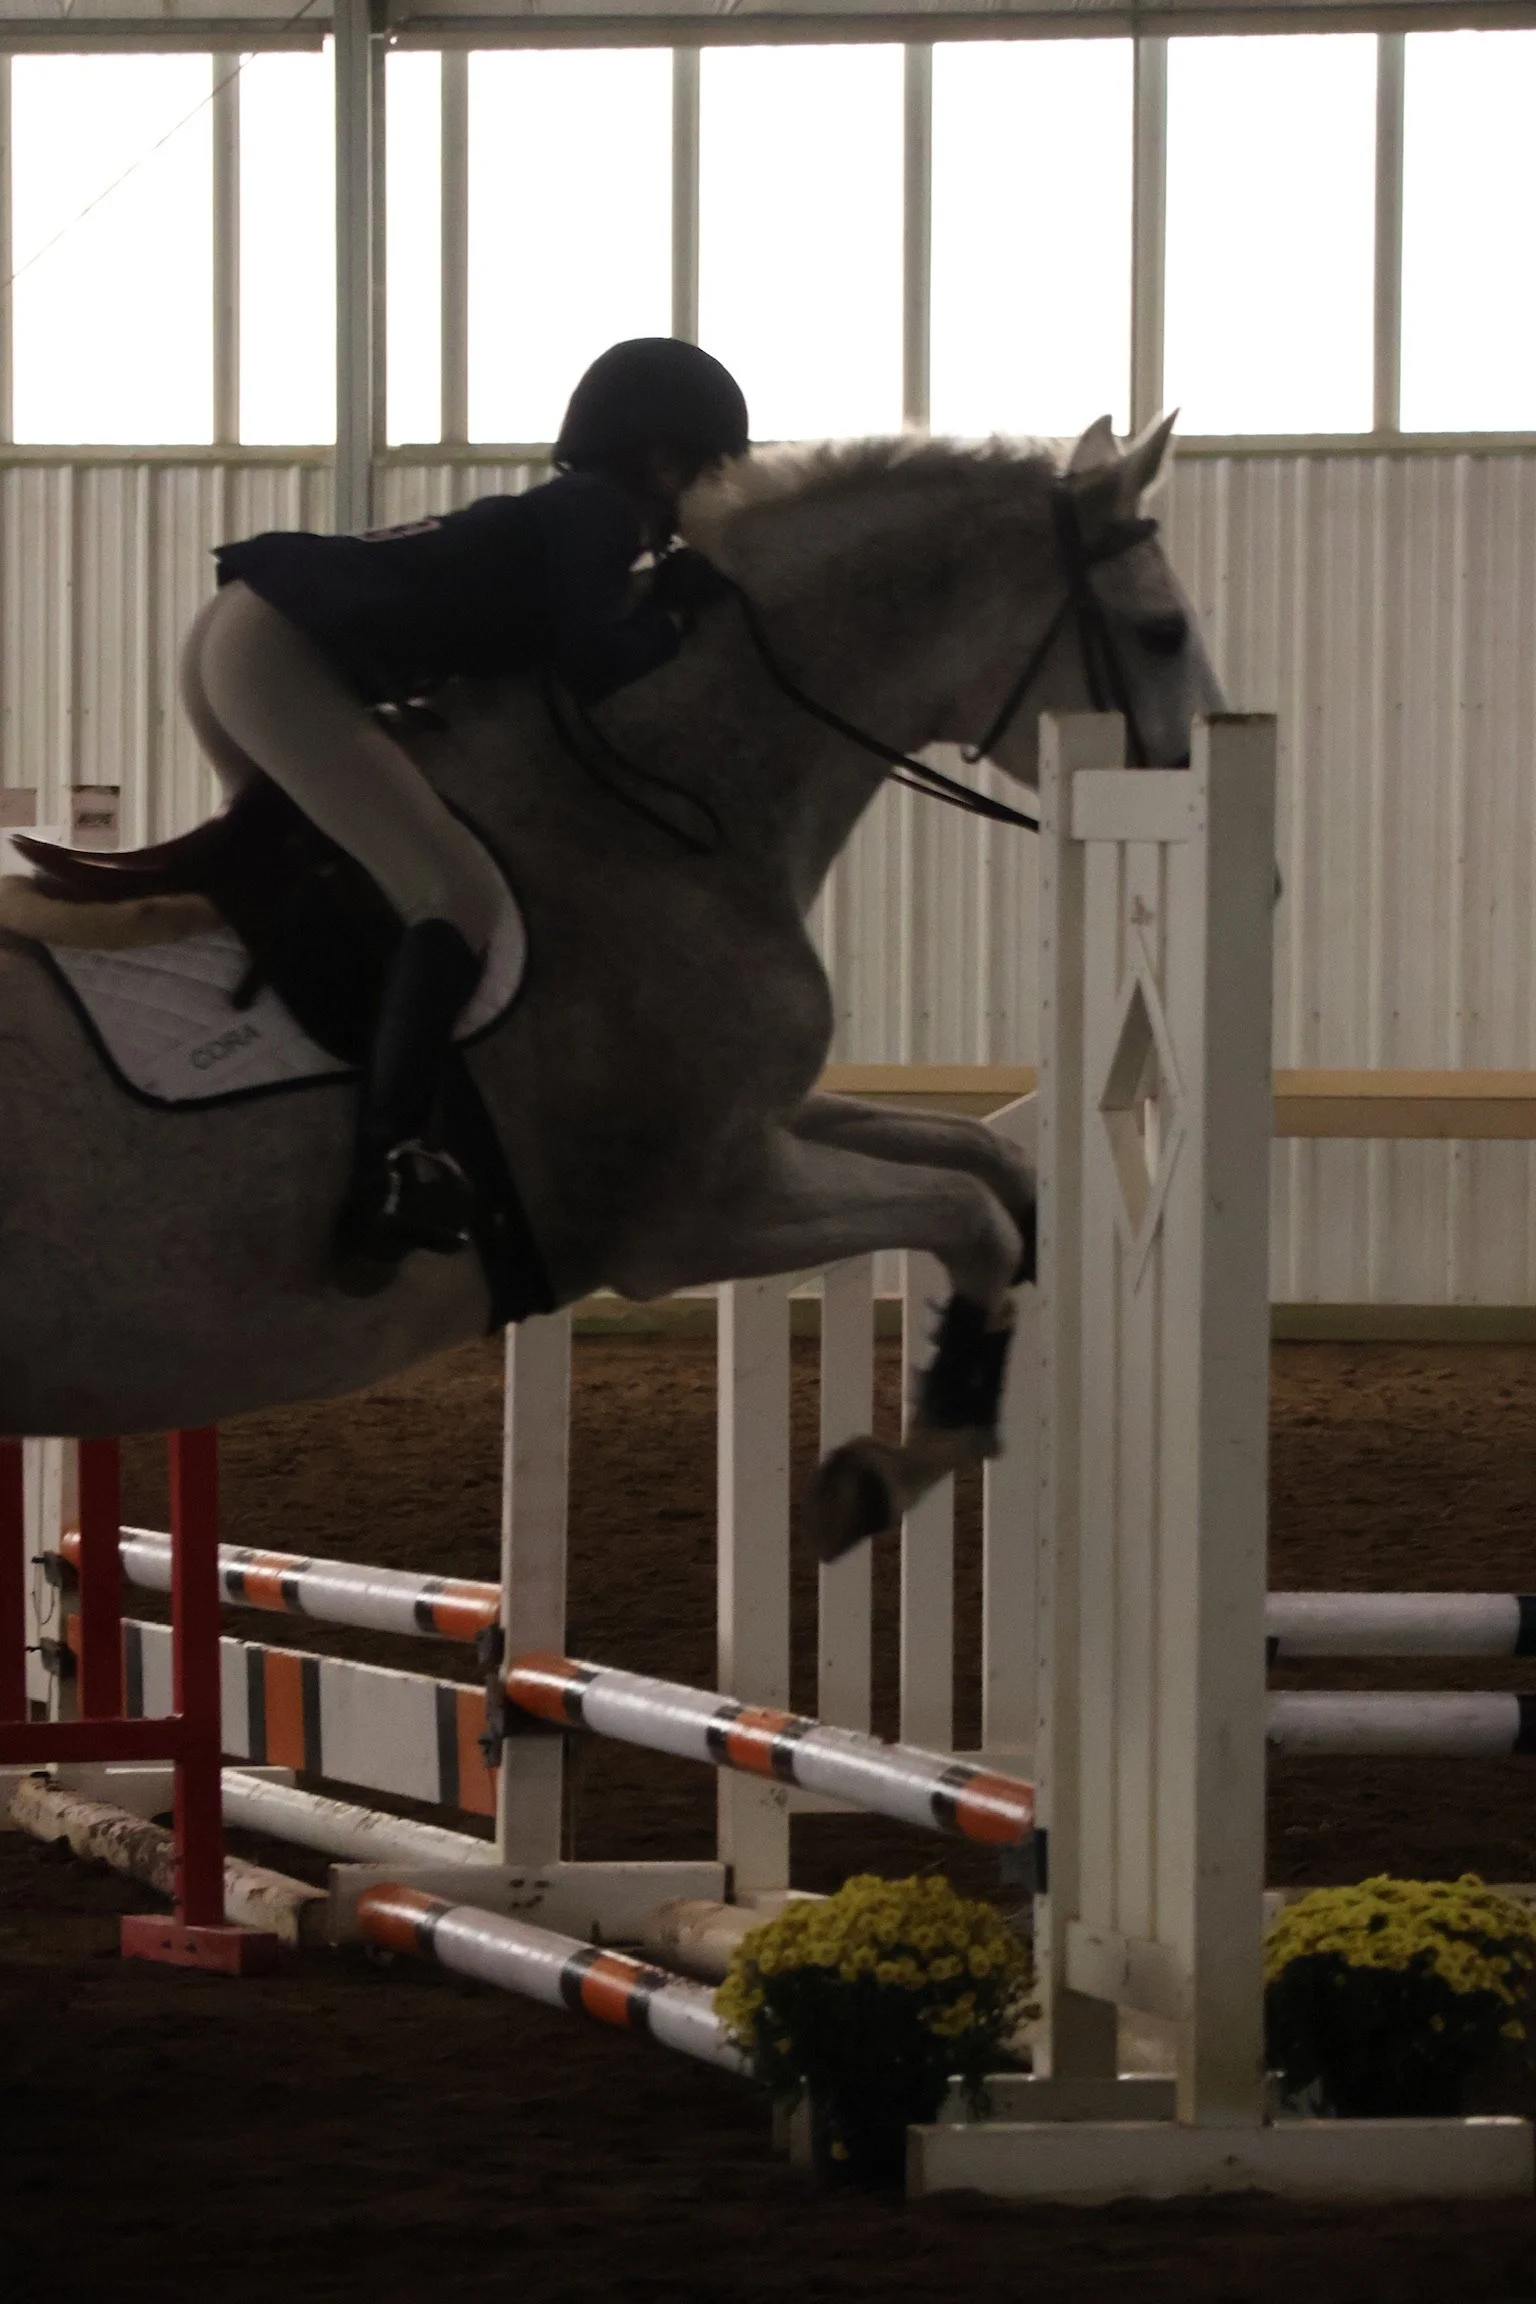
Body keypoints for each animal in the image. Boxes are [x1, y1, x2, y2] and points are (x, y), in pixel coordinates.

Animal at [0, 413, 1223, 1558]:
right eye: (1163, 632)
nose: (1187, 790)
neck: (662, 819)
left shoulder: (762, 1127)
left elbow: (986, 1162)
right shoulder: (697, 1213)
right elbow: (968, 1217)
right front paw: (884, 1473)